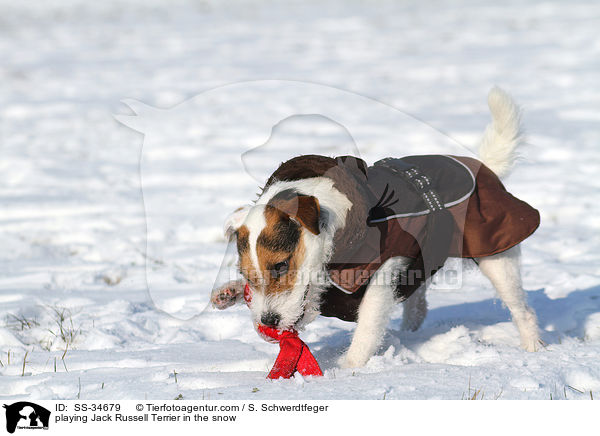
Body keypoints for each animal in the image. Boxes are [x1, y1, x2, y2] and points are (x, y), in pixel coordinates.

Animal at [212, 87, 544, 368]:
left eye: (281, 266)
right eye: (246, 274)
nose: (268, 321)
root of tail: (483, 168)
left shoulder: (383, 271)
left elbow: (369, 324)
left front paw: (348, 370)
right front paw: (230, 291)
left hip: (496, 254)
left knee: (523, 309)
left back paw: (533, 349)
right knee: (418, 303)